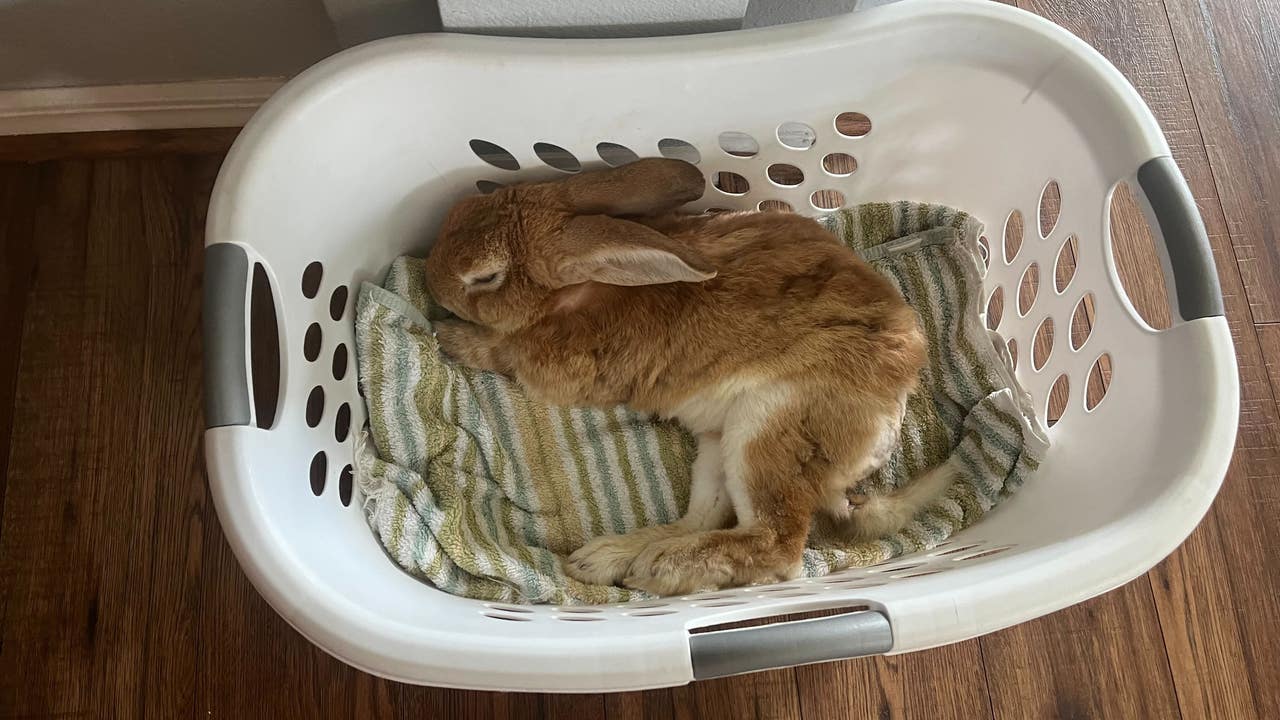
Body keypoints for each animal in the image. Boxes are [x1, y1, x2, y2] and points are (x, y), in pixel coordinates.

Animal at [424, 157, 955, 596]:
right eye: (466, 207)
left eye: (485, 277)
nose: (430, 279)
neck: (576, 290)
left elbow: (498, 352)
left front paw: (449, 337)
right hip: (720, 443)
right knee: (704, 517)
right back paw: (610, 559)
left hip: (767, 431)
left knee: (775, 546)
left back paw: (656, 569)